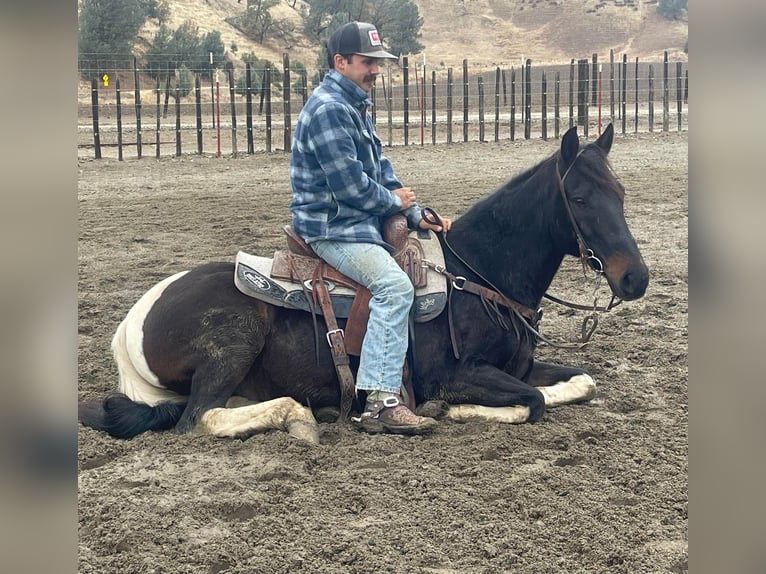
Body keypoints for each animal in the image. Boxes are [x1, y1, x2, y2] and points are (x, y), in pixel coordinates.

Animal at [79, 125, 648, 446]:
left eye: (620, 192)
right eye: (579, 197)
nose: (635, 278)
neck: (478, 277)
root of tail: (130, 326)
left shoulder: (522, 365)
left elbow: (580, 382)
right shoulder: (457, 372)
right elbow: (530, 402)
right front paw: (452, 410)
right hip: (234, 341)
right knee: (199, 419)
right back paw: (302, 418)